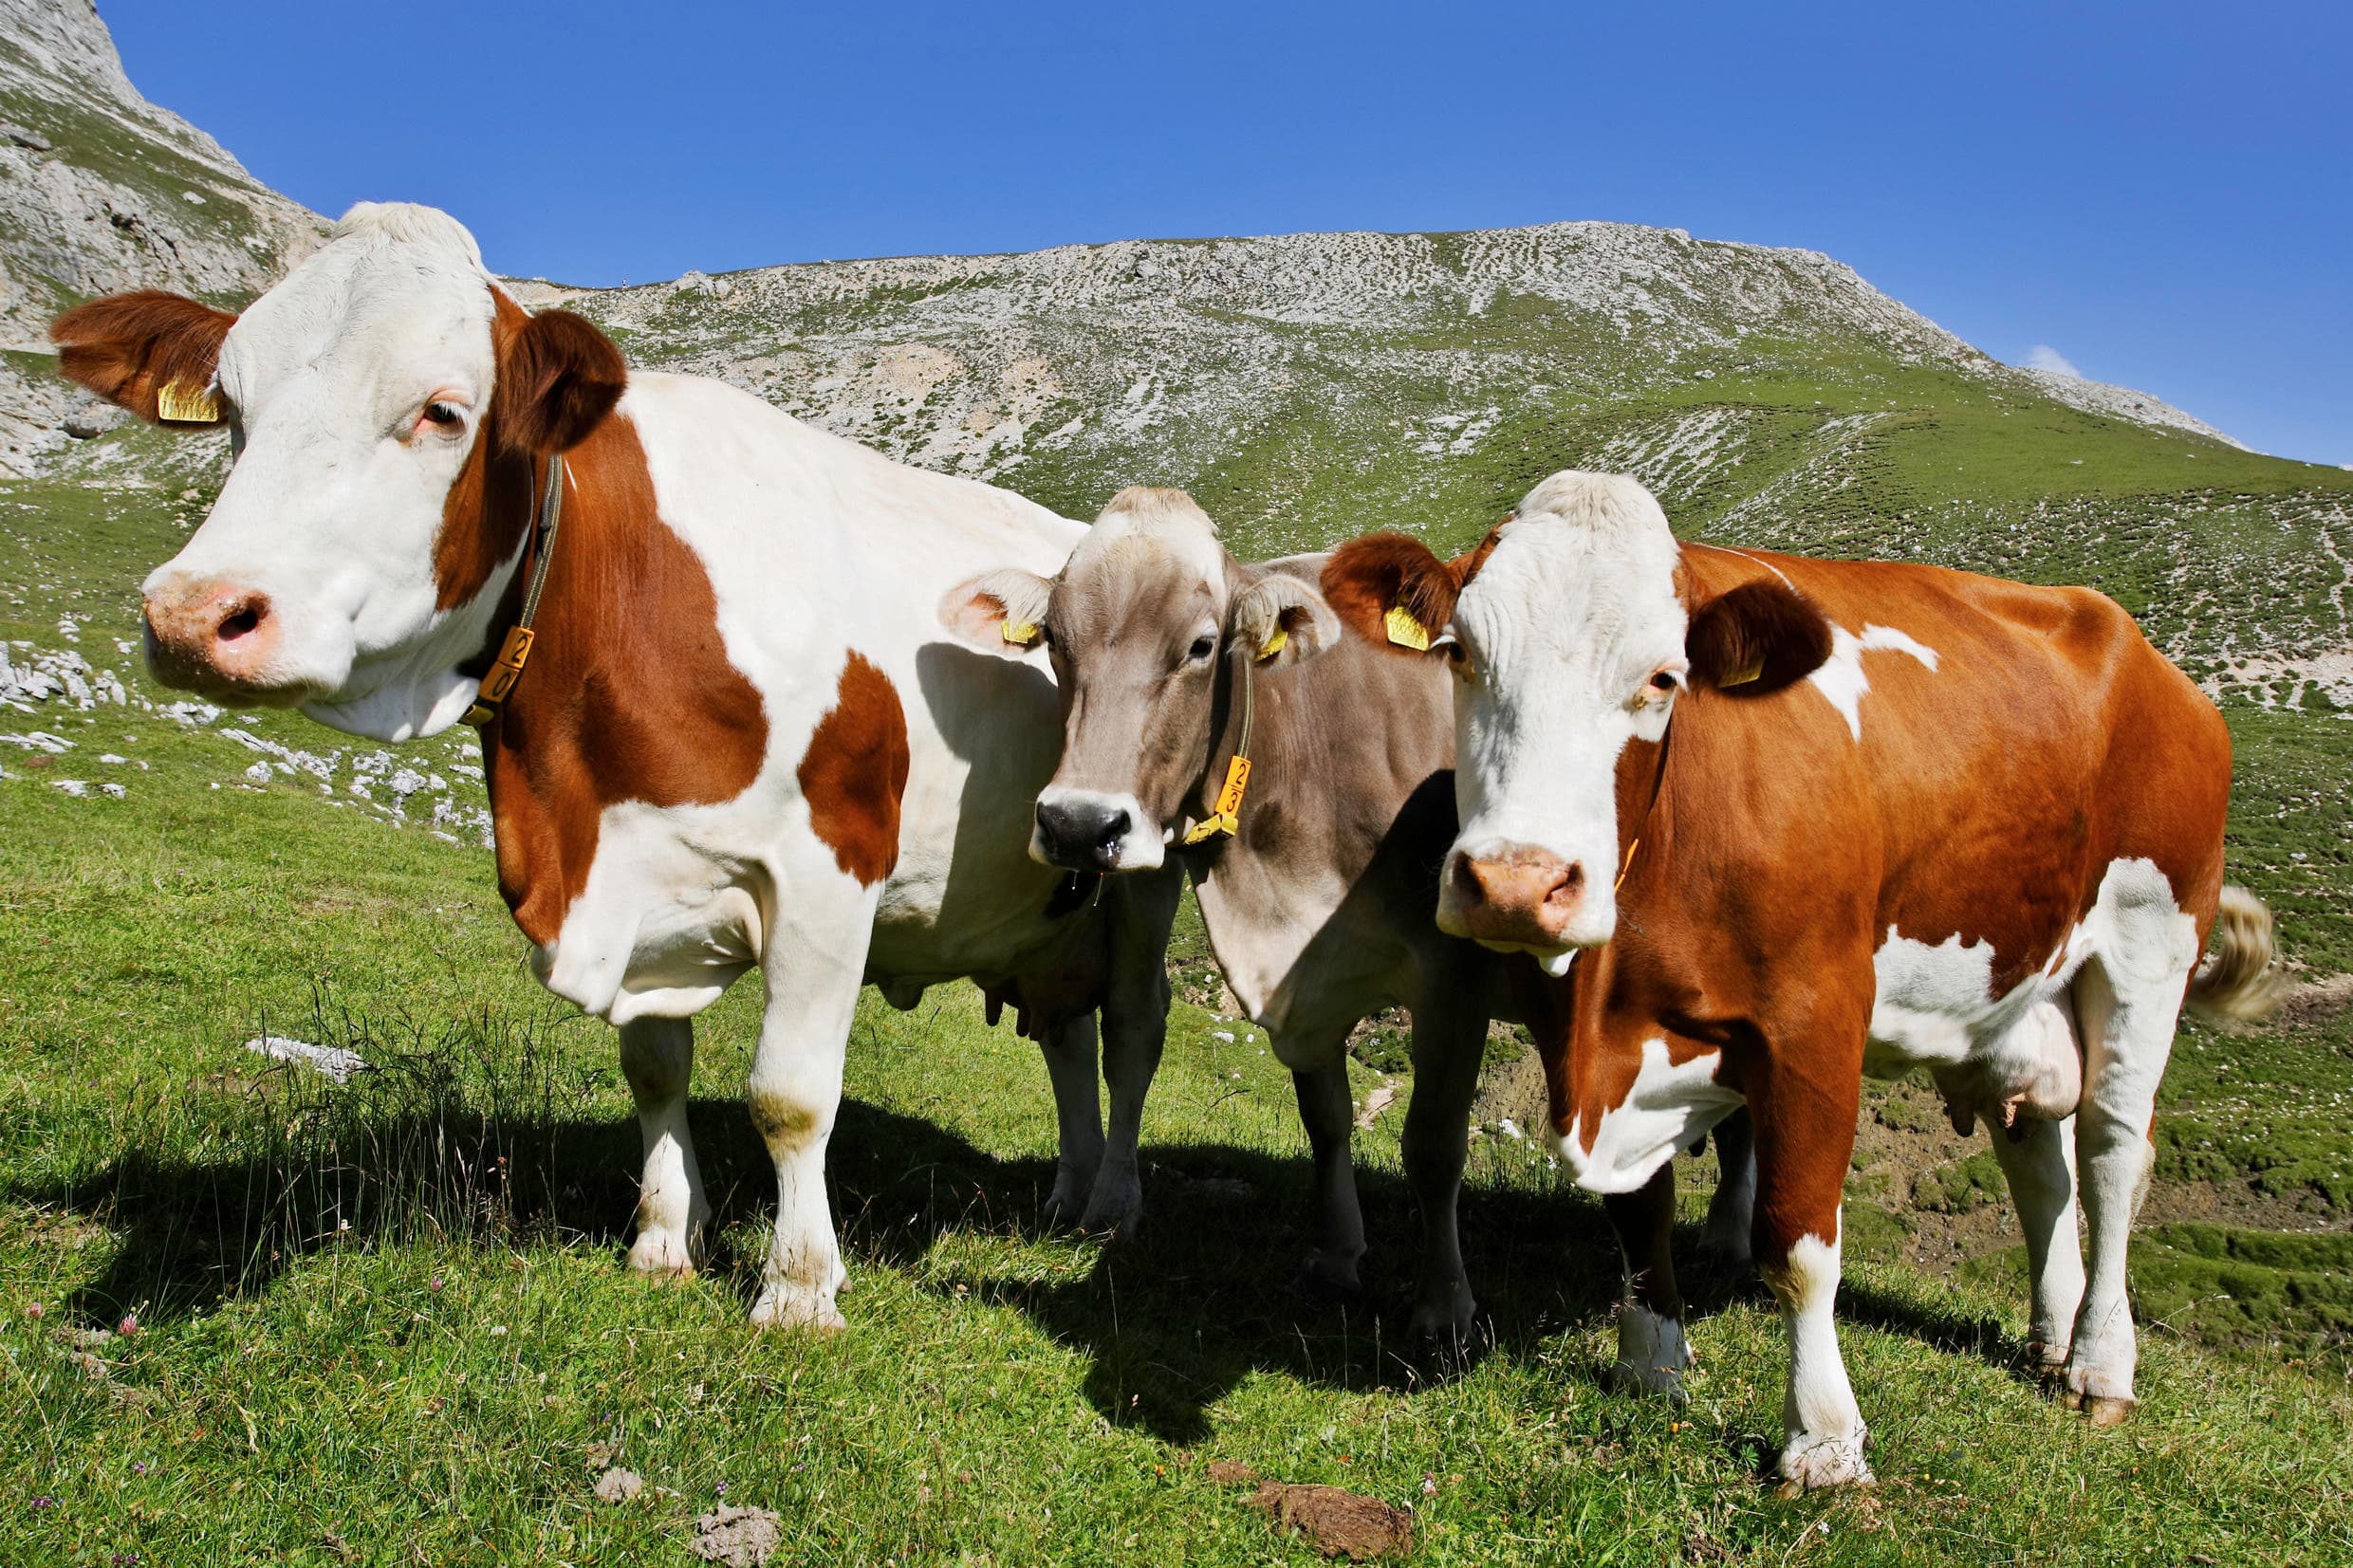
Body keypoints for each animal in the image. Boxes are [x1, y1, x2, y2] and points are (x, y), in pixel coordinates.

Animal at [49, 202, 1188, 1331]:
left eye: (442, 412)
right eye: (233, 409)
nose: (195, 614)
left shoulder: (832, 866)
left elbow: (790, 1094)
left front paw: (797, 1286)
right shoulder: (638, 871)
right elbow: (652, 1067)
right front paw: (663, 1240)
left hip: (1146, 865)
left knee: (1131, 1032)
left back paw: (1115, 1206)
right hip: (1052, 903)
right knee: (1064, 1031)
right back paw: (1066, 1191)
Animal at [941, 485, 1756, 1344]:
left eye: (1200, 645)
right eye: (1056, 642)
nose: (1077, 824)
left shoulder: (1453, 968)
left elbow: (1432, 1142)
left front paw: (1445, 1307)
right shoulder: (1303, 974)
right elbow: (1325, 1117)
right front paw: (1336, 1257)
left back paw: (1731, 1242)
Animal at [1318, 469, 2282, 1487]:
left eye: (1664, 678)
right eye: (1459, 653)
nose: (1514, 882)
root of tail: (2150, 657)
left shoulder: (1814, 1020)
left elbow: (1799, 1242)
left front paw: (1823, 1439)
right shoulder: (1583, 1032)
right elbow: (1639, 1212)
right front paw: (1651, 1364)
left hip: (2151, 938)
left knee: (2110, 1152)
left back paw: (2101, 1363)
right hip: (2017, 982)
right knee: (2038, 1162)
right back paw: (2052, 1334)